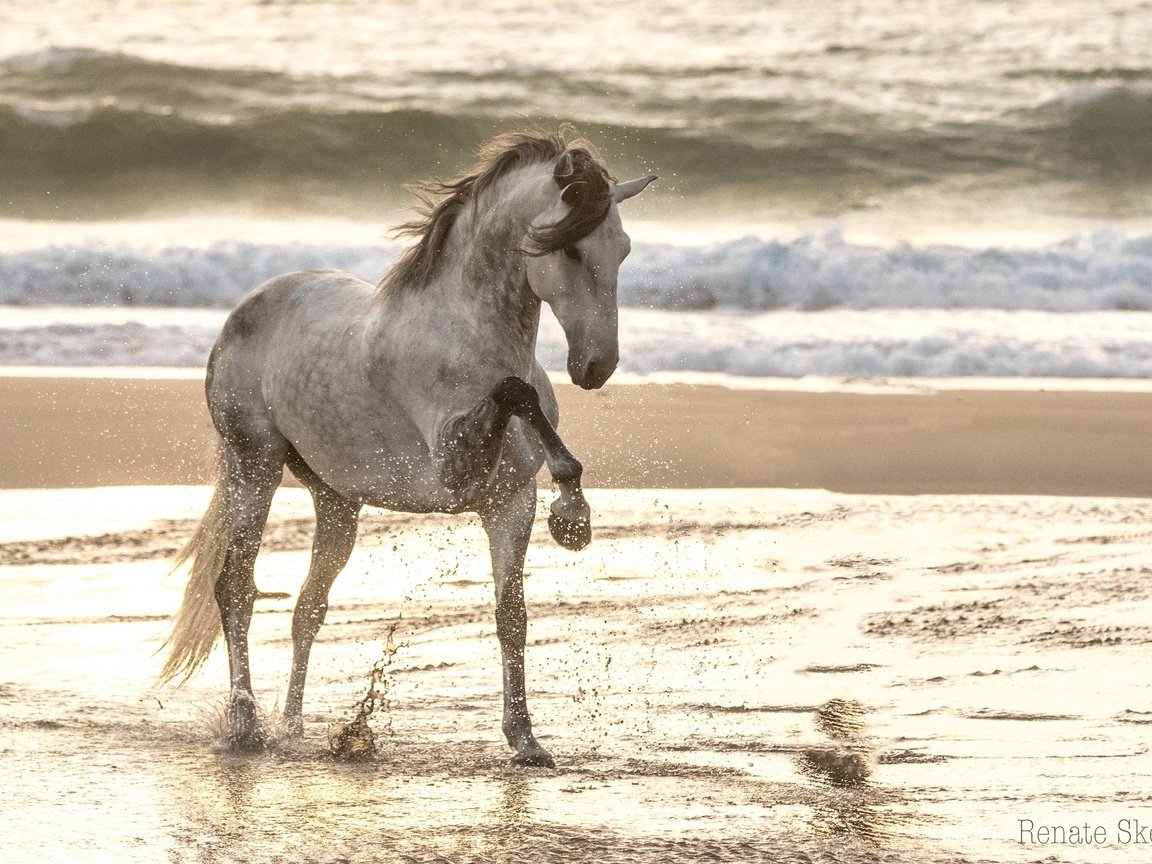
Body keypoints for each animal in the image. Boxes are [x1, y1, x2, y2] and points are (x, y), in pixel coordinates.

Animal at [160, 131, 658, 769]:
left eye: (622, 250)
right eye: (569, 250)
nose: (595, 368)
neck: (465, 336)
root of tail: (244, 311)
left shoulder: (508, 505)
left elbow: (511, 617)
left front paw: (525, 741)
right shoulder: (456, 469)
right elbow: (515, 393)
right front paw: (573, 513)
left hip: (337, 501)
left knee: (308, 607)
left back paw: (292, 727)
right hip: (255, 466)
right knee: (236, 589)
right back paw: (246, 726)